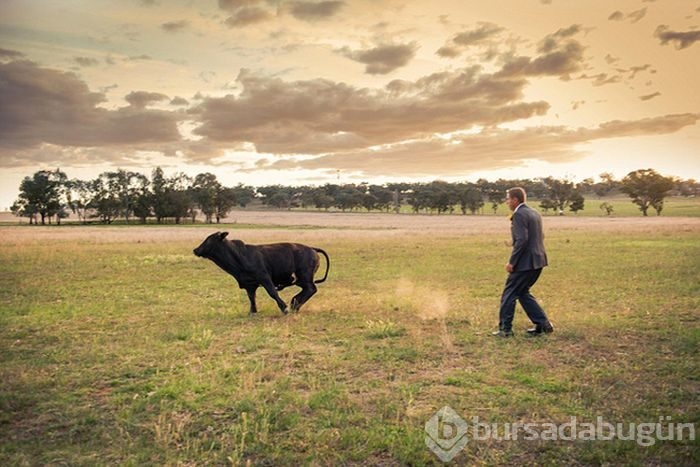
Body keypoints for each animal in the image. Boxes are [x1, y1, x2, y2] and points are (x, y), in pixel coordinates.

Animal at [193, 233, 330, 316]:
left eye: (208, 240)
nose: (195, 250)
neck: (240, 256)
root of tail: (312, 248)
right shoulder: (250, 285)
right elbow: (251, 298)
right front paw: (252, 312)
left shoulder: (264, 278)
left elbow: (272, 293)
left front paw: (284, 308)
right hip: (301, 280)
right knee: (307, 290)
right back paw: (295, 304)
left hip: (304, 277)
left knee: (311, 289)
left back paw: (294, 305)